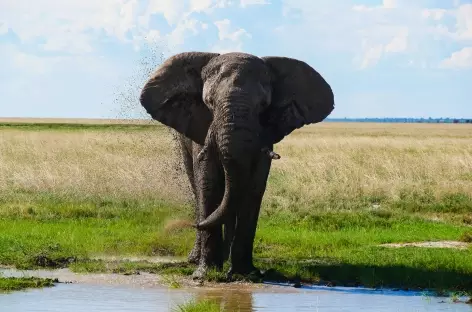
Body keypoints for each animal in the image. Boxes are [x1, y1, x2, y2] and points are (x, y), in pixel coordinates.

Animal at [138, 51, 334, 280]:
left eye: (263, 105)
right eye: (209, 102)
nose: (179, 225)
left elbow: (254, 186)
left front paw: (245, 275)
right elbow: (208, 182)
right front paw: (204, 275)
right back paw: (197, 258)